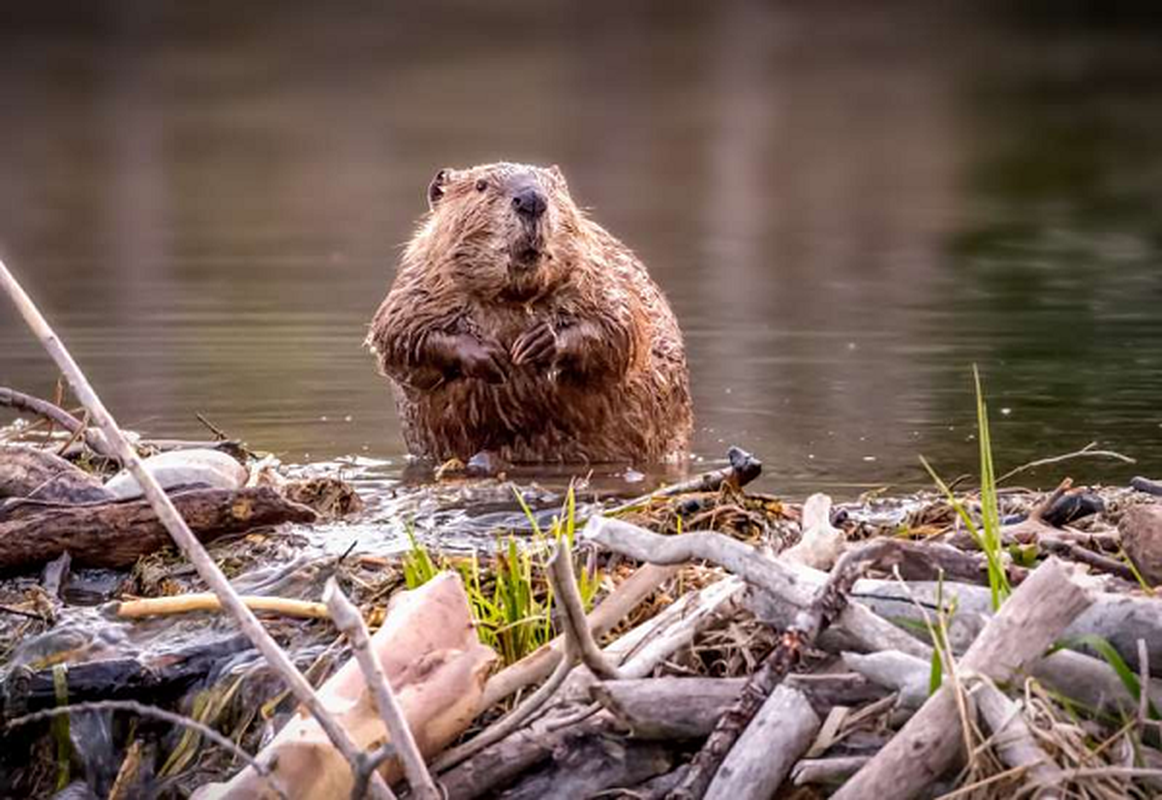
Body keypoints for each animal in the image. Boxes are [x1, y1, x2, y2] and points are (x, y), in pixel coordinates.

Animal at [364, 162, 687, 462]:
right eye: (480, 185)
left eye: (551, 188)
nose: (531, 199)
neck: (513, 296)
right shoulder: (418, 283)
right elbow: (399, 336)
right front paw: (489, 355)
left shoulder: (599, 272)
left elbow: (620, 327)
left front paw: (537, 343)